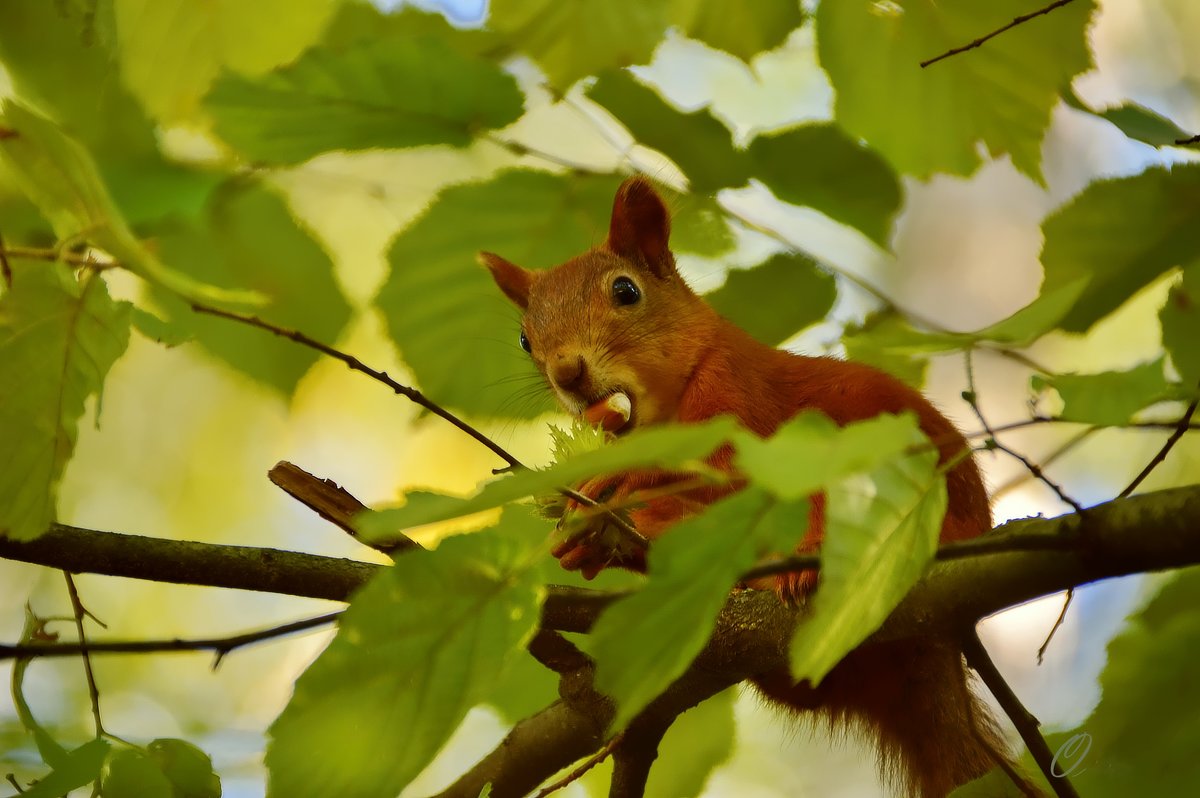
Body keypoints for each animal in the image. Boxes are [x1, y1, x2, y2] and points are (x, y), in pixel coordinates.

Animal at [477, 176, 1032, 796]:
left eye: (626, 291)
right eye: (525, 339)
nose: (567, 374)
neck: (672, 400)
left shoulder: (745, 400)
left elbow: (721, 466)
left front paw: (613, 481)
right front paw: (597, 539)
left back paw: (809, 561)